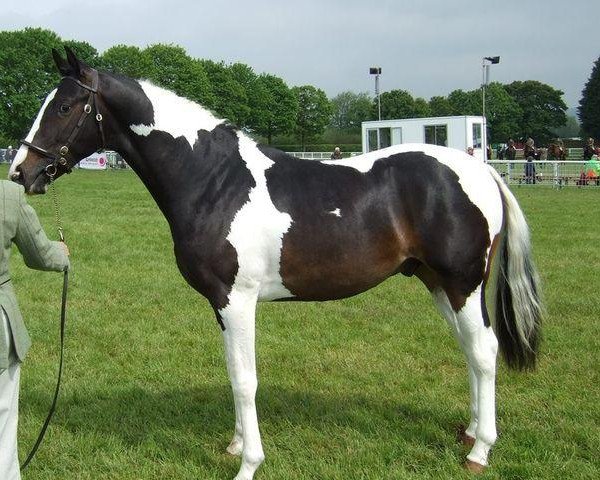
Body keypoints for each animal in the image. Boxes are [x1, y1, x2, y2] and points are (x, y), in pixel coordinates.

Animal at [10, 49, 544, 480]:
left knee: (484, 352)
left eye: (63, 107)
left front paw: (249, 464)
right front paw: (236, 445)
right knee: (471, 351)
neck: (216, 181)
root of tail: (482, 170)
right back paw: (470, 432)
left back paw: (480, 451)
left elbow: (246, 381)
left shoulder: (237, 300)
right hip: (439, 284)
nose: (21, 172)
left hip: (462, 284)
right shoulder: (220, 305)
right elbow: (233, 373)